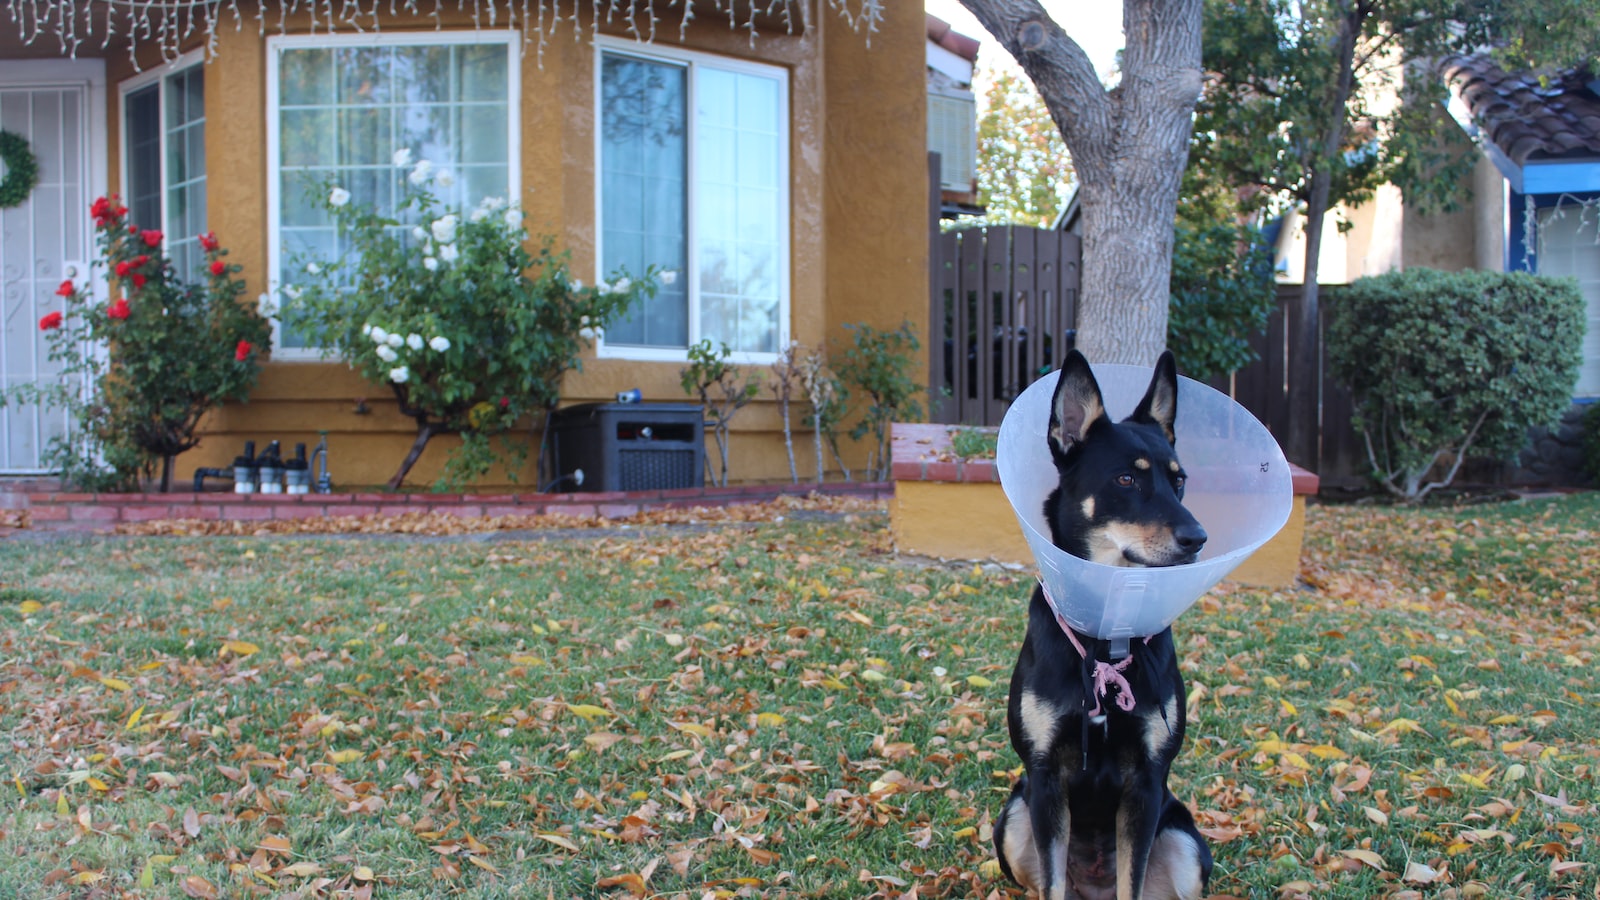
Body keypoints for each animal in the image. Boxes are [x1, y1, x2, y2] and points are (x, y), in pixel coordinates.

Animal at [985, 350, 1209, 896]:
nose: (1198, 538)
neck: (1106, 637)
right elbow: (1051, 884)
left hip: (1186, 843)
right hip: (1014, 817)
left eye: (1179, 481)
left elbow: (1133, 879)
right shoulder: (1045, 778)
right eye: (1126, 479)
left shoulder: (1147, 782)